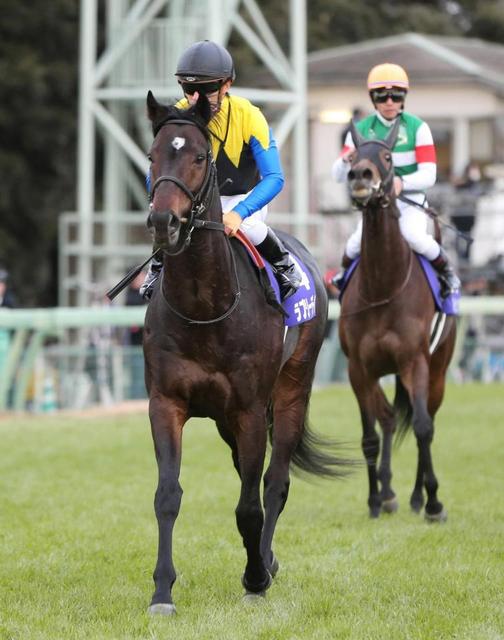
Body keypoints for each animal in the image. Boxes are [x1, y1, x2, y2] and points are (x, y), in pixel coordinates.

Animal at [142, 91, 349, 614]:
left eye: (200, 157)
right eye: (152, 156)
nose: (163, 221)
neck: (204, 306)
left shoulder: (252, 409)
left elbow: (250, 504)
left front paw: (255, 577)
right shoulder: (166, 404)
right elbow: (167, 495)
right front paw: (162, 590)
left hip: (292, 390)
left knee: (274, 482)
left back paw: (265, 562)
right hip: (223, 419)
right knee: (247, 472)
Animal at [338, 120, 456, 521]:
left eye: (388, 156)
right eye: (353, 156)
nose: (360, 176)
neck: (382, 285)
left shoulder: (414, 361)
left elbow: (422, 428)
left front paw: (434, 502)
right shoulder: (359, 369)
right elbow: (370, 436)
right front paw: (375, 500)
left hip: (438, 369)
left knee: (428, 419)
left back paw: (419, 498)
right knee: (388, 417)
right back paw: (389, 494)